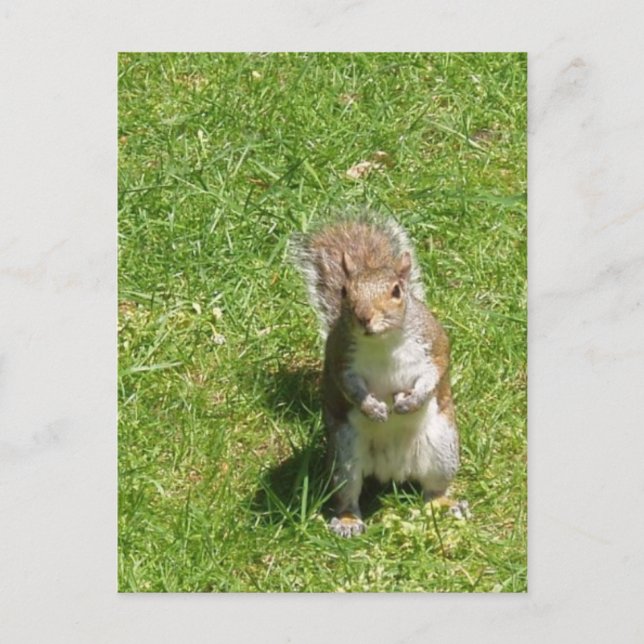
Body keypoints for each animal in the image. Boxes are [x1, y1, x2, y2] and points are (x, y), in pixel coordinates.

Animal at [291, 213, 468, 537]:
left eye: (397, 291)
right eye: (344, 291)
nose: (364, 317)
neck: (383, 342)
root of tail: (392, 471)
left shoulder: (434, 345)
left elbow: (434, 374)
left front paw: (410, 401)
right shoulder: (340, 358)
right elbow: (349, 387)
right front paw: (373, 408)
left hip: (443, 448)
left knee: (434, 491)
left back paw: (446, 505)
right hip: (344, 456)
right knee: (348, 494)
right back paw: (348, 521)